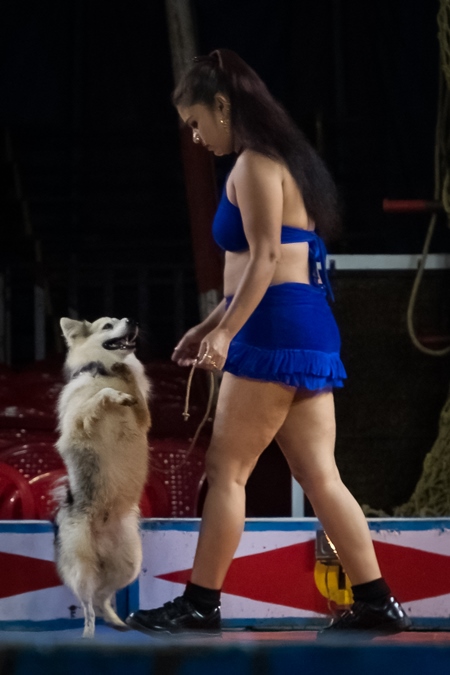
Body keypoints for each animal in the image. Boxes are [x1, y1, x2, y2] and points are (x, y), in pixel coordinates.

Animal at [55, 316, 150, 640]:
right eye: (108, 325)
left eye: (122, 318)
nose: (131, 320)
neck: (106, 371)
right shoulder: (77, 425)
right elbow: (101, 396)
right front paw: (114, 393)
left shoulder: (144, 417)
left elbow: (134, 394)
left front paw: (127, 375)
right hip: (83, 566)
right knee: (87, 603)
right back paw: (88, 633)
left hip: (128, 564)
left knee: (102, 598)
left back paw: (115, 620)